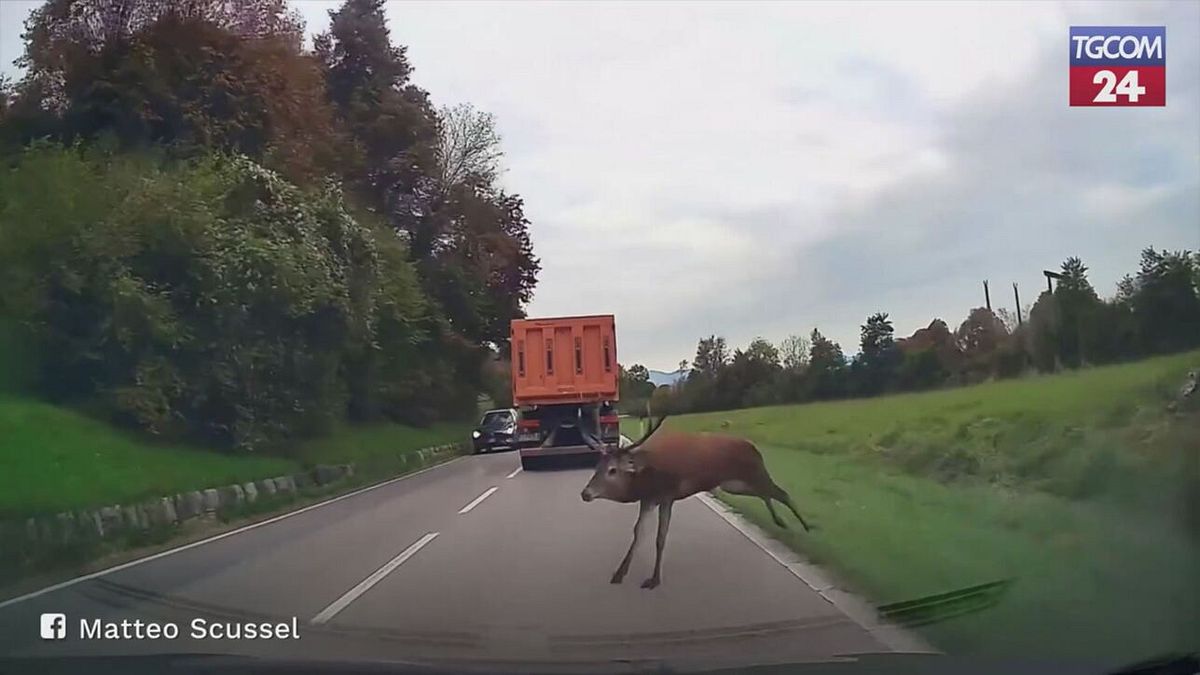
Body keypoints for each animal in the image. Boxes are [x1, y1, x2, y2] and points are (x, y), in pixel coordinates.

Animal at [579, 416, 810, 589]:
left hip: (755, 473)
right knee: (767, 494)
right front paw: (619, 574)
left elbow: (660, 537)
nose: (585, 493)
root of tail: (754, 447)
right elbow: (638, 532)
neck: (645, 480)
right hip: (734, 484)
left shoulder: (667, 496)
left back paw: (805, 526)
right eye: (597, 467)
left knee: (781, 493)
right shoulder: (648, 499)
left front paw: (654, 579)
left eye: (612, 470)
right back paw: (781, 521)